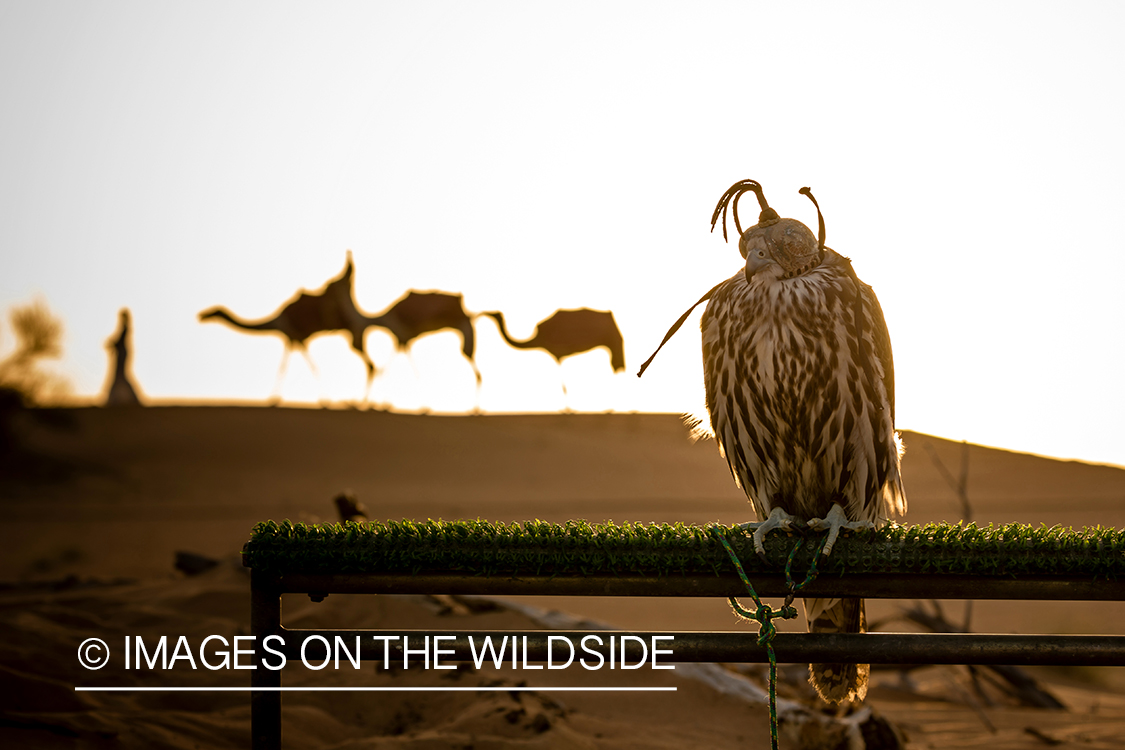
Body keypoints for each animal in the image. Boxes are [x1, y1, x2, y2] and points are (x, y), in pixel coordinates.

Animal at [483, 308, 625, 398]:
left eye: (494, 313)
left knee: (615, 367)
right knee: (615, 367)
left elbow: (563, 387)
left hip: (613, 344)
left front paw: (568, 410)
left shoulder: (558, 353)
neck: (538, 339)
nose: (484, 313)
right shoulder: (559, 355)